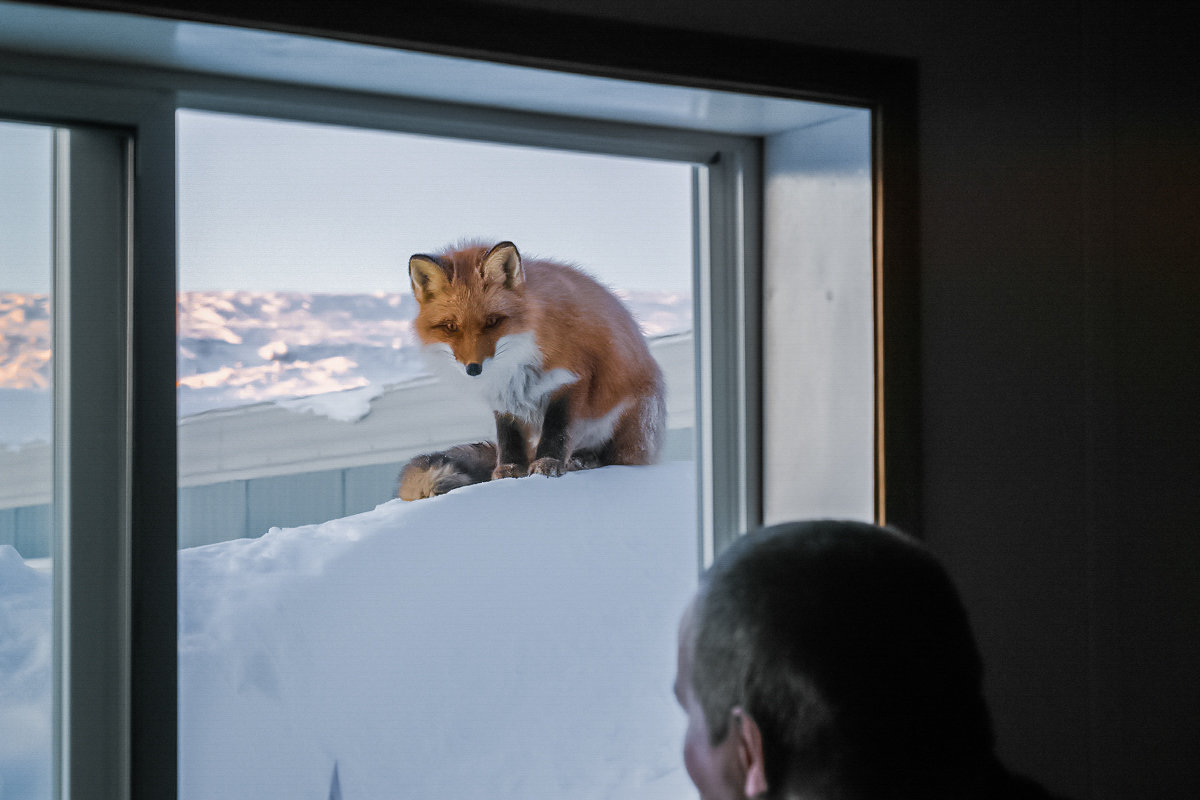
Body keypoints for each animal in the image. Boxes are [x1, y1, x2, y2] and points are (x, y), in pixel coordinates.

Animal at [400, 239, 667, 501]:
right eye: (451, 327)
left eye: (492, 321)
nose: (473, 369)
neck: (518, 358)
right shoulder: (504, 396)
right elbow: (509, 438)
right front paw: (509, 471)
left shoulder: (569, 379)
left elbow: (557, 430)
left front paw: (548, 464)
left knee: (614, 457)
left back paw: (584, 459)